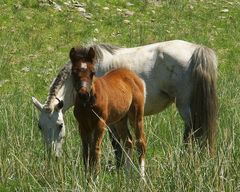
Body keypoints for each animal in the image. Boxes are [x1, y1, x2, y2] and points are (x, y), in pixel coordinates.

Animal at [31, 40, 218, 160]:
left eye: (60, 125)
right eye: (40, 127)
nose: (52, 157)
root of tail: (196, 49)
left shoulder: (108, 120)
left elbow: (117, 146)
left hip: (185, 107)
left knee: (192, 134)